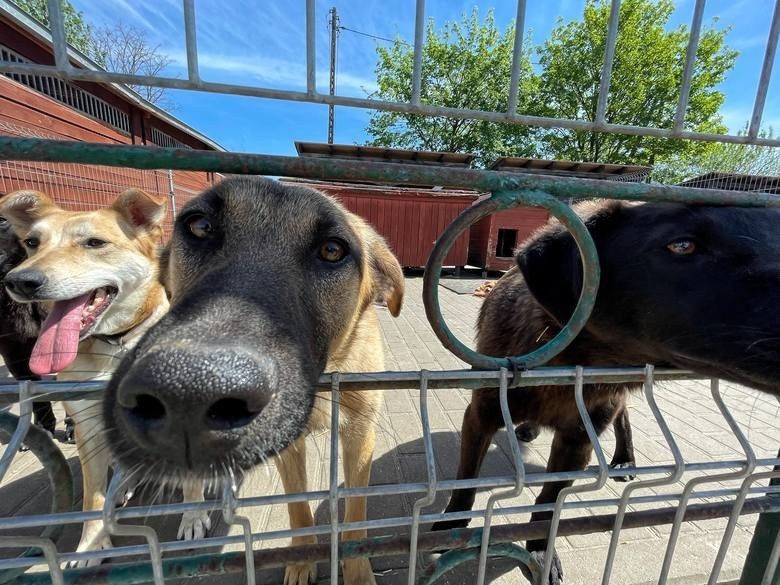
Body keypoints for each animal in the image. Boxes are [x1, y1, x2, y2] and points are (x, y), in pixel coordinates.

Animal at [0, 190, 206, 564]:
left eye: (95, 243)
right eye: (32, 242)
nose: (20, 281)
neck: (115, 344)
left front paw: (194, 517)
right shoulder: (88, 425)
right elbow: (92, 498)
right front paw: (91, 545)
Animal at [103, 178, 406, 584]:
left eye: (332, 250)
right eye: (199, 226)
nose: (189, 389)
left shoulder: (360, 435)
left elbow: (355, 514)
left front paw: (357, 570)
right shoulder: (291, 448)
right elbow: (297, 508)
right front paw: (301, 560)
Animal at [432, 200, 780, 580]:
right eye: (682, 245)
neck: (566, 367)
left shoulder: (578, 440)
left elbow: (549, 501)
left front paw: (540, 550)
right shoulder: (480, 416)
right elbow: (465, 485)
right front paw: (448, 532)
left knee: (623, 420)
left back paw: (625, 457)